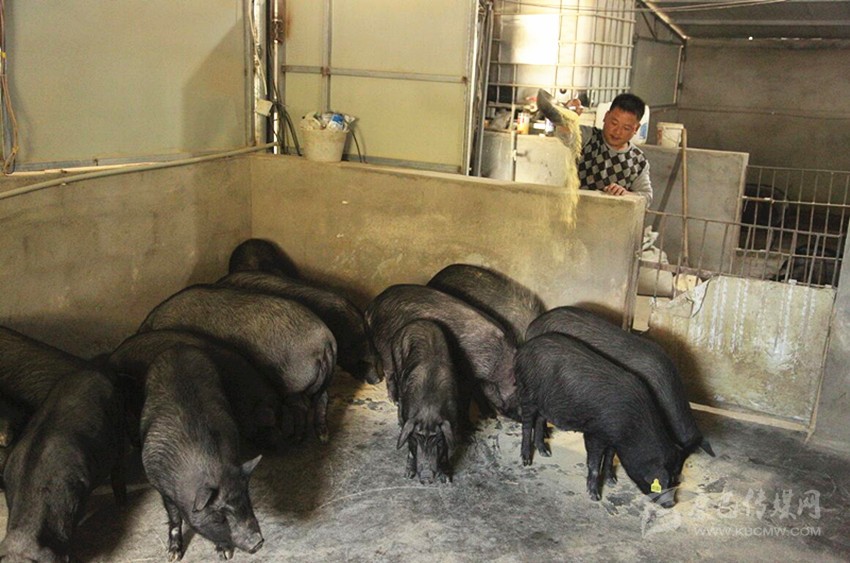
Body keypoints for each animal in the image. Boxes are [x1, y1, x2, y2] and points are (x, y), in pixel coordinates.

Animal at [138, 284, 337, 442]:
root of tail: (325, 340)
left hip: (291, 380)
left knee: (302, 406)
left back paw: (296, 438)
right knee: (322, 397)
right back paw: (323, 436)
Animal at [141, 345, 264, 560]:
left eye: (246, 501)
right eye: (219, 516)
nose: (258, 542)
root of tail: (177, 347)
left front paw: (225, 555)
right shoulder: (161, 487)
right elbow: (174, 518)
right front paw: (174, 557)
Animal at [365, 284, 518, 420]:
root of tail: (373, 305)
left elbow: (480, 393)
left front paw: (490, 415)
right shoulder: (468, 369)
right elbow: (471, 393)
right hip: (384, 341)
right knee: (389, 370)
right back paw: (393, 400)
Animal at [391, 320, 461, 484]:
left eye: (438, 440)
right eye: (417, 438)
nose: (427, 478)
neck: (429, 407)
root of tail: (416, 321)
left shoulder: (452, 421)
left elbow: (447, 447)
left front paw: (446, 478)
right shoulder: (409, 420)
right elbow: (409, 448)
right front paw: (408, 474)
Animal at [515, 332, 684, 507]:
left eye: (674, 477)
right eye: (664, 479)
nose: (671, 504)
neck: (630, 428)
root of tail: (524, 349)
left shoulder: (613, 439)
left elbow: (609, 457)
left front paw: (612, 481)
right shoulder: (595, 433)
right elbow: (594, 463)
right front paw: (595, 497)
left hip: (545, 403)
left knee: (540, 420)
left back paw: (546, 453)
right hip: (526, 391)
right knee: (527, 424)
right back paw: (526, 461)